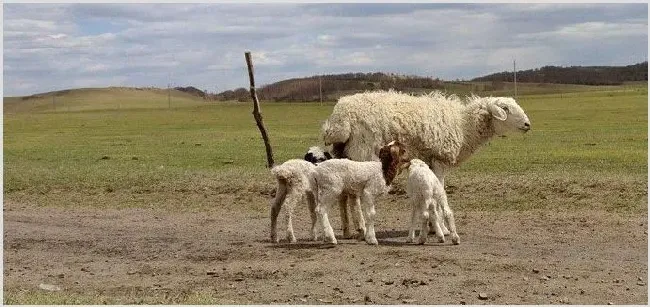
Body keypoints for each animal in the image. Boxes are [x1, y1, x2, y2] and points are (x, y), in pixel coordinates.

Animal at [322, 91, 528, 236]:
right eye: (505, 108)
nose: (528, 124)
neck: (464, 126)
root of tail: (341, 116)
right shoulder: (439, 160)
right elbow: (439, 192)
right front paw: (442, 229)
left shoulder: (429, 162)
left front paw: (431, 226)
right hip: (362, 152)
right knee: (354, 196)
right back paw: (361, 228)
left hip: (345, 154)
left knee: (344, 196)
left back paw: (348, 230)